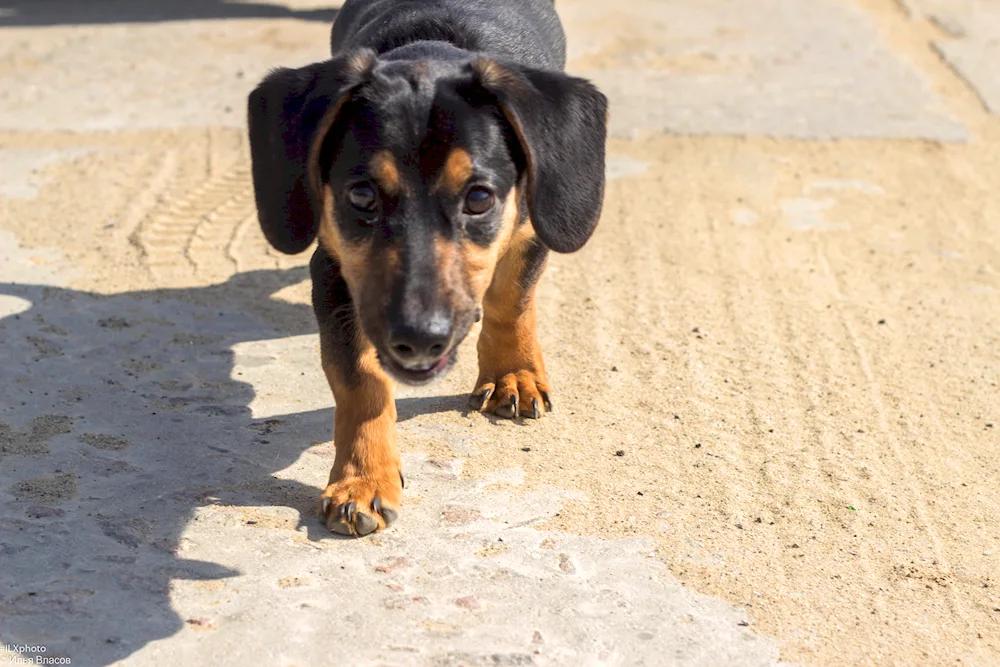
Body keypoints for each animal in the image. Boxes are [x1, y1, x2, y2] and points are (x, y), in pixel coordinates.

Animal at [250, 0, 608, 536]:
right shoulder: (333, 271)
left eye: (479, 198)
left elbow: (511, 302)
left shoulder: (529, 228)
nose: (419, 339)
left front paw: (513, 374)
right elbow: (360, 379)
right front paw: (363, 480)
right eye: (362, 195)